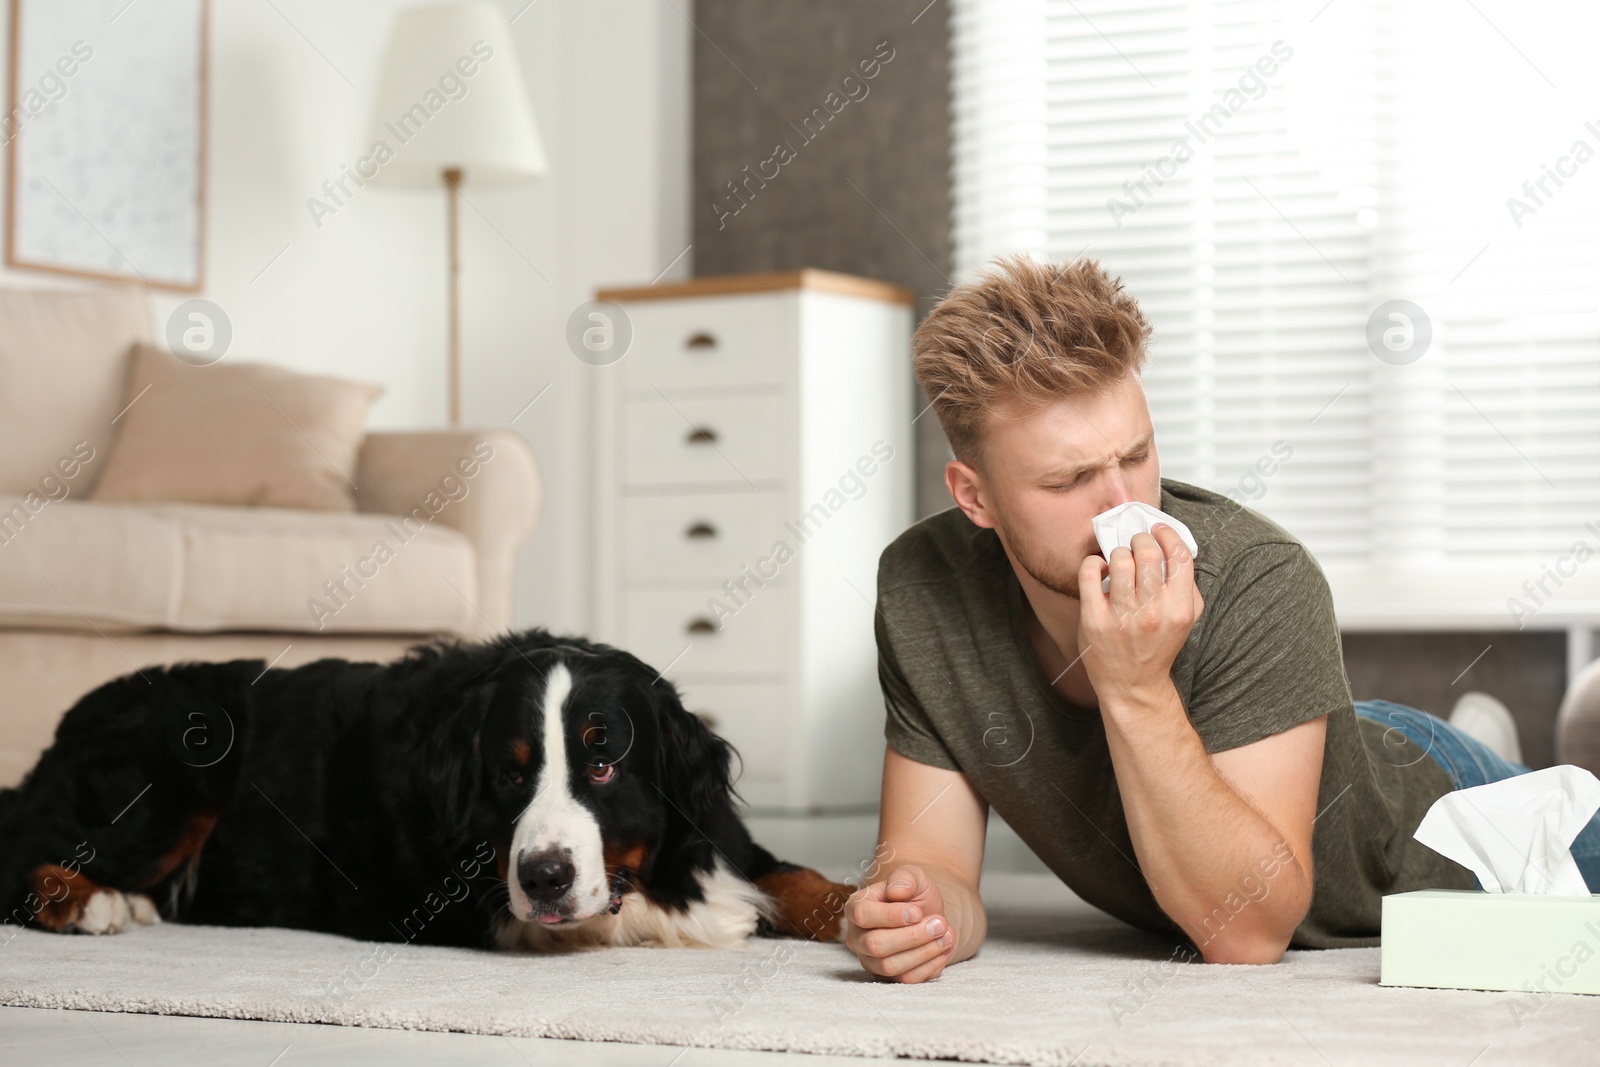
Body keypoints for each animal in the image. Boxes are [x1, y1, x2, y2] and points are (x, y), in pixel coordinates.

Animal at [0, 627, 857, 953]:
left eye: (603, 764)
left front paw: (863, 906)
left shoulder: (716, 836)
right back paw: (91, 901)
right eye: (510, 772)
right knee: (22, 856)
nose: (545, 876)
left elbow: (793, 875)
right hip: (175, 770)